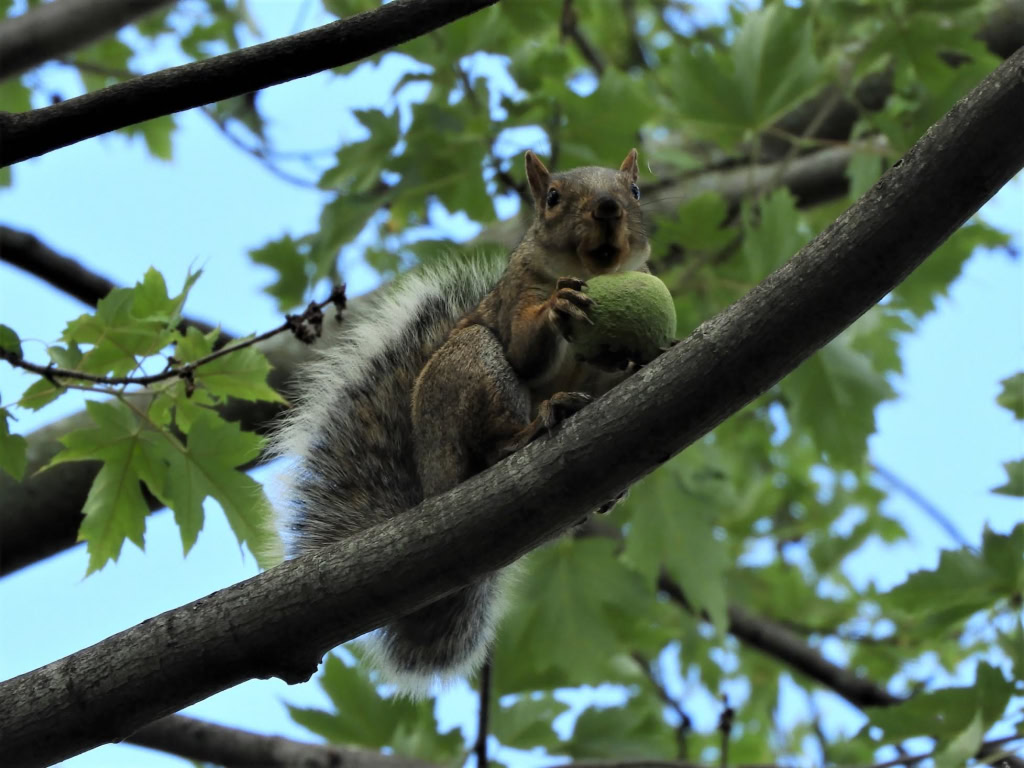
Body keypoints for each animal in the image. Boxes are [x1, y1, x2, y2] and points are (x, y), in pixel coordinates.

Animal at [272, 147, 651, 696]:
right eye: (553, 197)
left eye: (635, 191)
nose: (607, 208)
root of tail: (434, 486)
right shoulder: (514, 298)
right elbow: (525, 346)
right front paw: (558, 305)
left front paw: (640, 357)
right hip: (472, 366)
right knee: (494, 440)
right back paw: (535, 425)